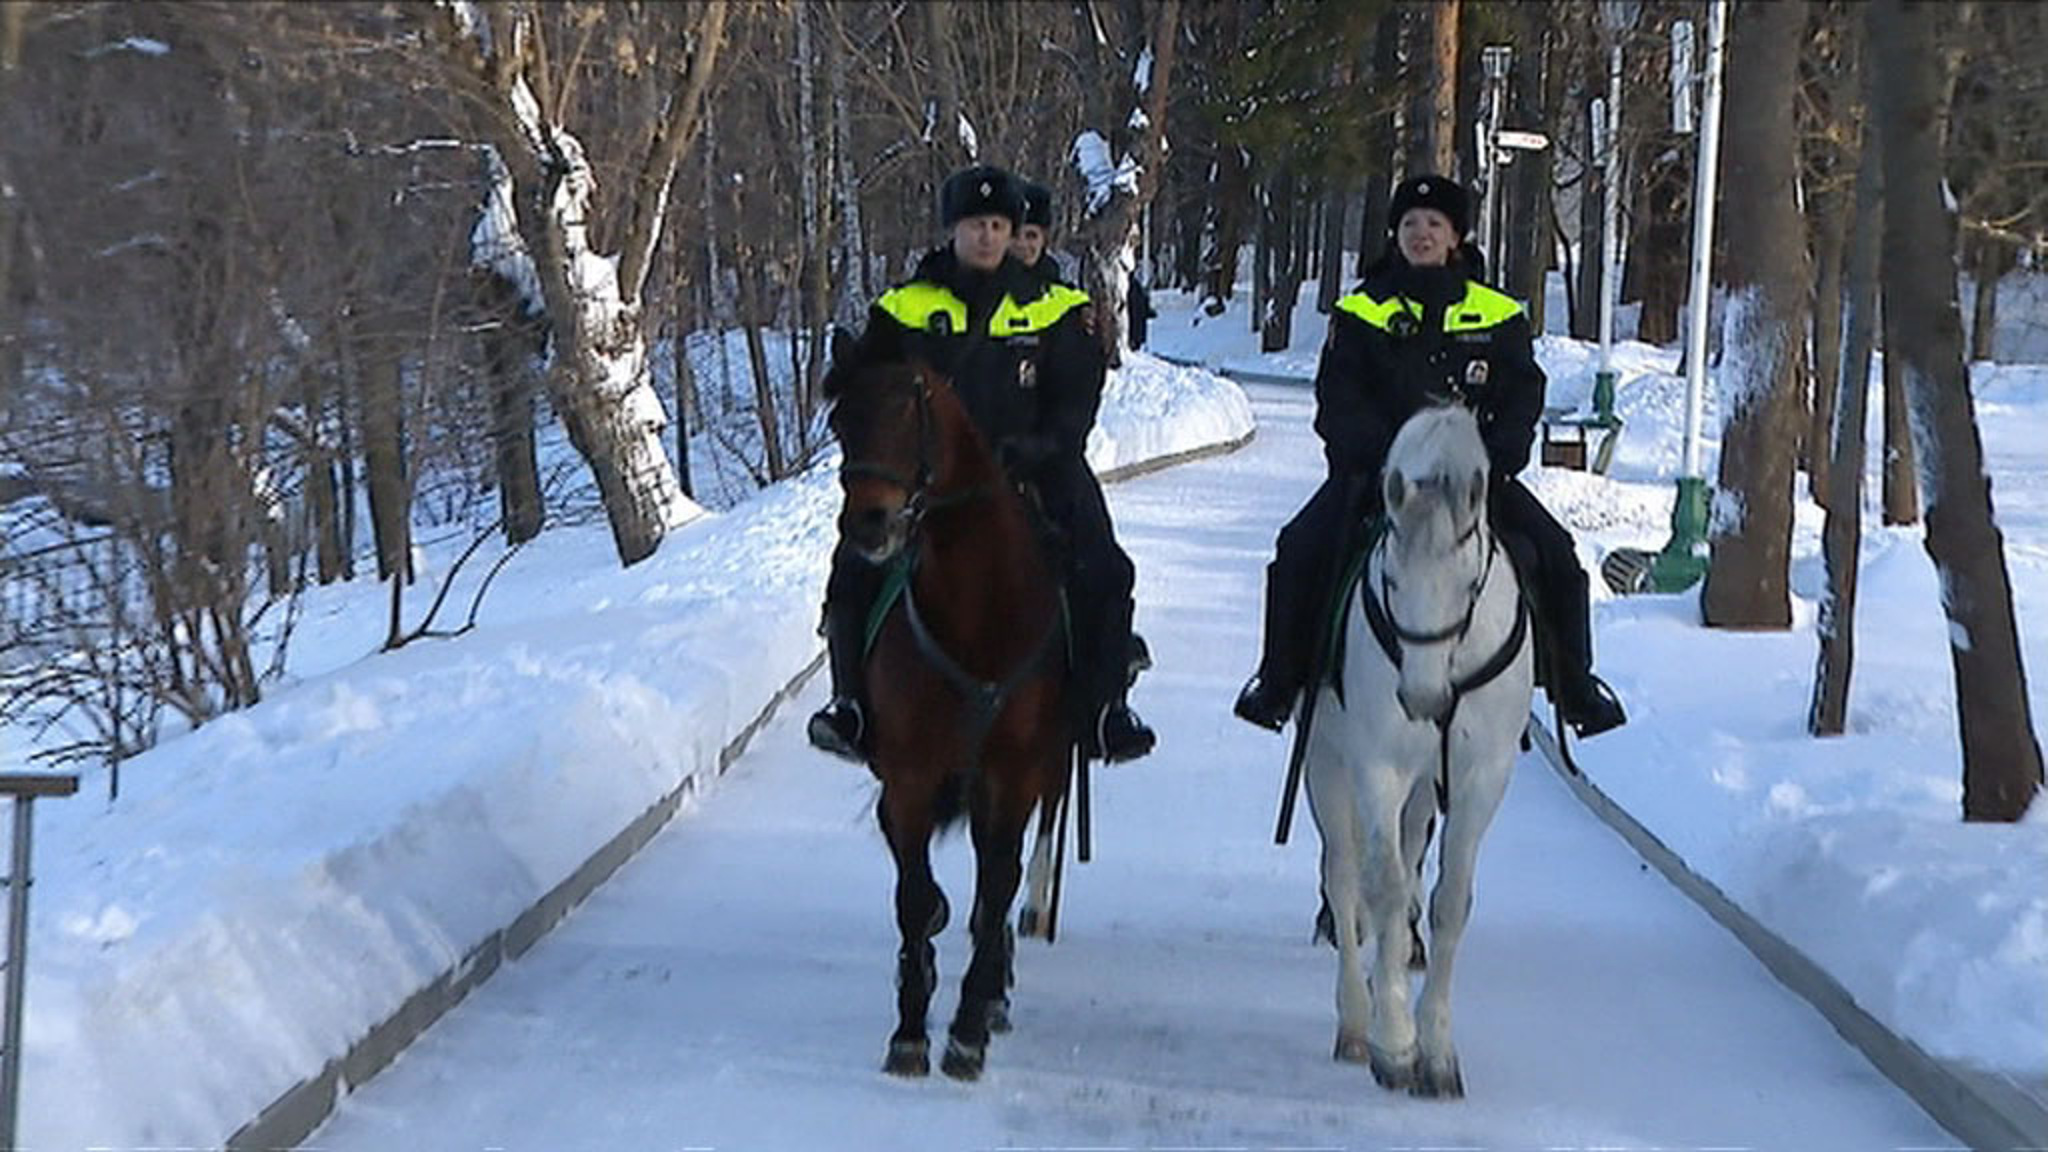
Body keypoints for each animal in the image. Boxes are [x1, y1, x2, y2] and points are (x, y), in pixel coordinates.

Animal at [824, 333, 1073, 1081]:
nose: (868, 524)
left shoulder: (1014, 774)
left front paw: (966, 1027)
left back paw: (991, 996)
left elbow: (997, 888)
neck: (976, 614)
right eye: (840, 424)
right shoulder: (909, 775)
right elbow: (913, 896)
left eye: (911, 415)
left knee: (1003, 877)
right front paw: (911, 1029)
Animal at [1302, 402, 1534, 1098]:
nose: (1423, 698)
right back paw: (1358, 1016)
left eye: (1466, 583)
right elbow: (1378, 887)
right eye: (1392, 578)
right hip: (1327, 765)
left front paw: (1436, 1048)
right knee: (1345, 875)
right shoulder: (1376, 765)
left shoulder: (1483, 776)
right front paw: (1395, 1043)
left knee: (1407, 868)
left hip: (1424, 788)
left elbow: (1449, 901)